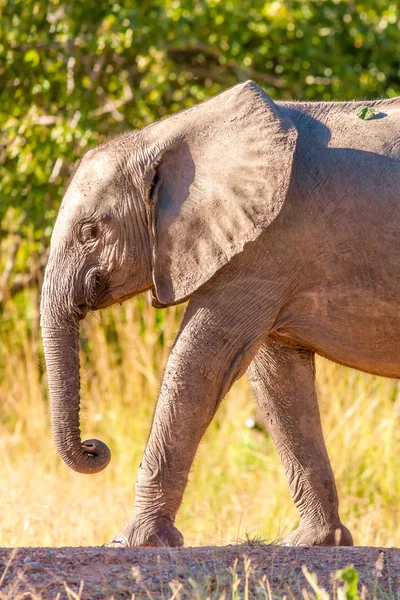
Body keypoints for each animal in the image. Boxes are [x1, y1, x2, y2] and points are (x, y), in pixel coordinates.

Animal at [39, 79, 400, 548]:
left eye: (90, 231)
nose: (95, 448)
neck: (163, 138)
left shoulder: (264, 246)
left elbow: (200, 363)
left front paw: (133, 542)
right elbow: (277, 380)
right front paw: (315, 543)